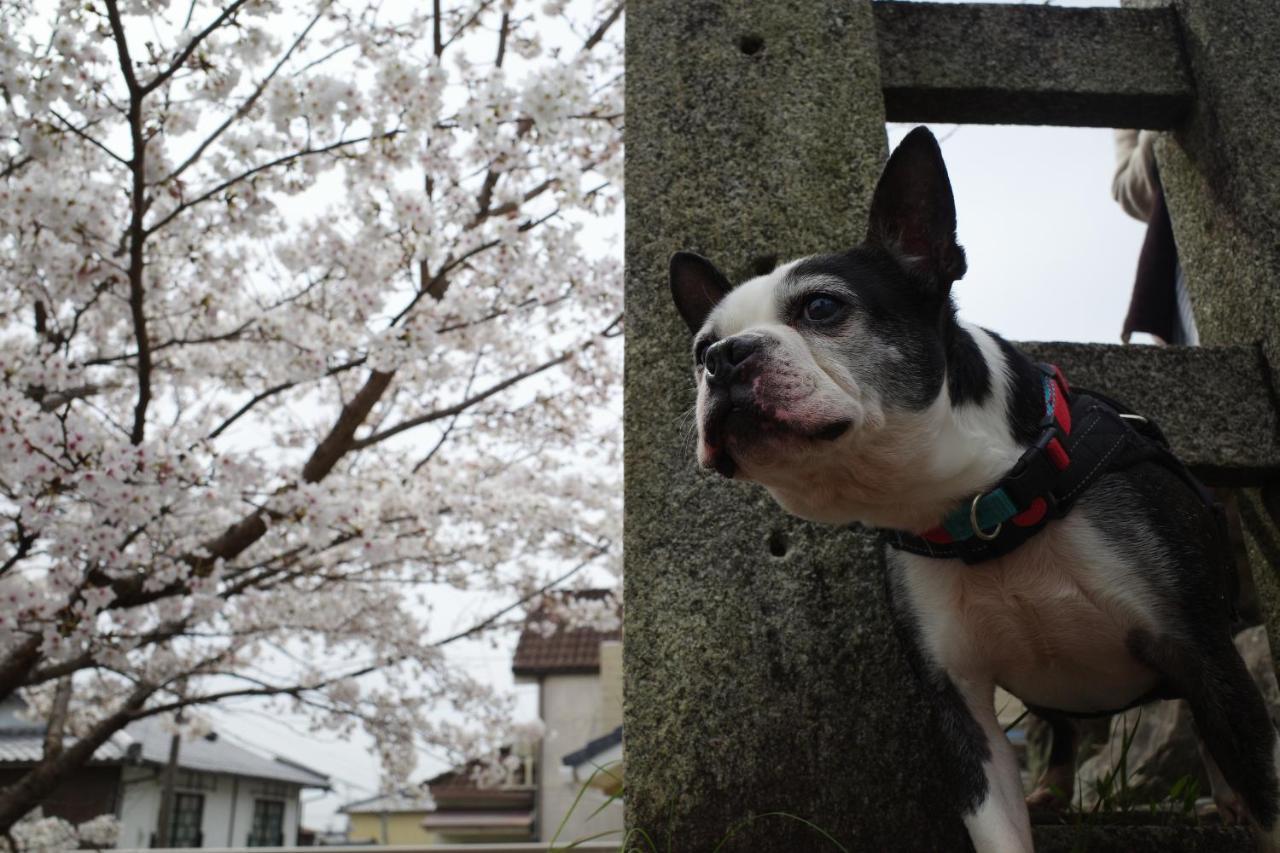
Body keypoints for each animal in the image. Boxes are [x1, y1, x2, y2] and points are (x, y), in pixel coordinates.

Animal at [670, 126, 1280, 850]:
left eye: (822, 307)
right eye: (700, 347)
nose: (723, 358)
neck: (988, 510)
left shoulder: (1201, 647)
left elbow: (1263, 788)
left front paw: (1248, 803)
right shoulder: (960, 709)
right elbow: (999, 826)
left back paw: (1223, 797)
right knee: (1060, 728)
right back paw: (1054, 789)